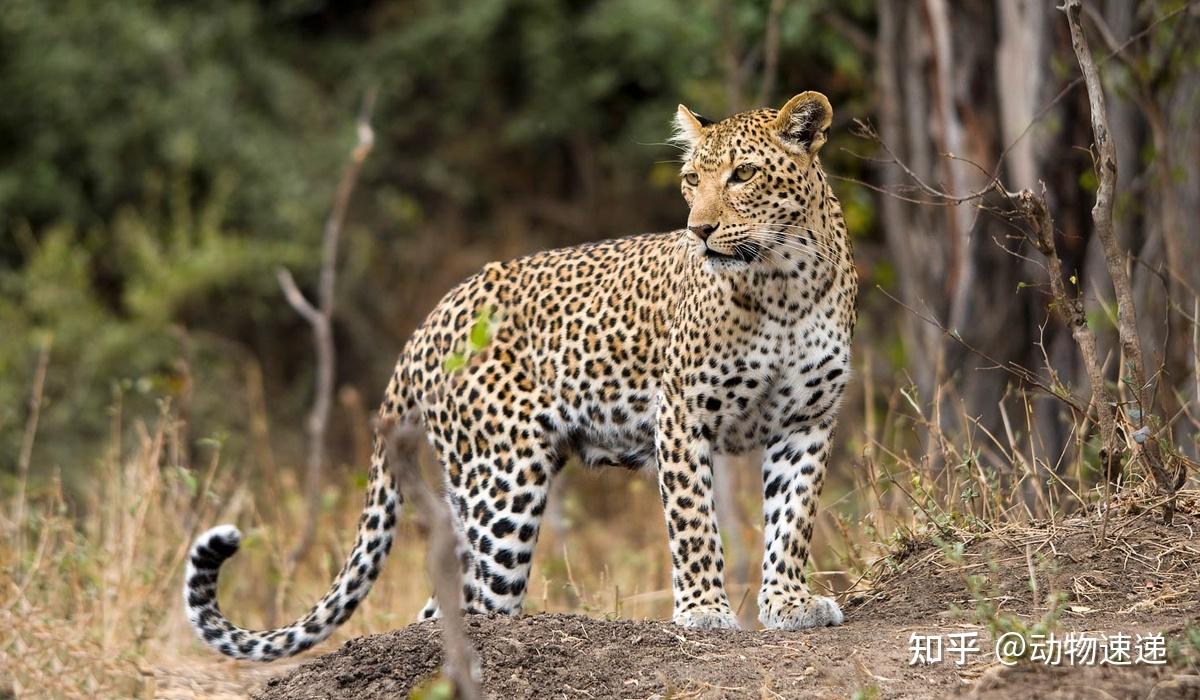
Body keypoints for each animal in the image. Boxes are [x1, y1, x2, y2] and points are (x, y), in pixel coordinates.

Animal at [184, 90, 854, 657]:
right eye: (692, 179)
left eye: (743, 175)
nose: (700, 230)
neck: (781, 283)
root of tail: (431, 318)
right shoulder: (683, 415)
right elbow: (693, 523)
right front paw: (704, 612)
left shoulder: (809, 421)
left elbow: (793, 518)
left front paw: (789, 602)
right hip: (504, 481)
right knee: (474, 601)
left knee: (444, 606)